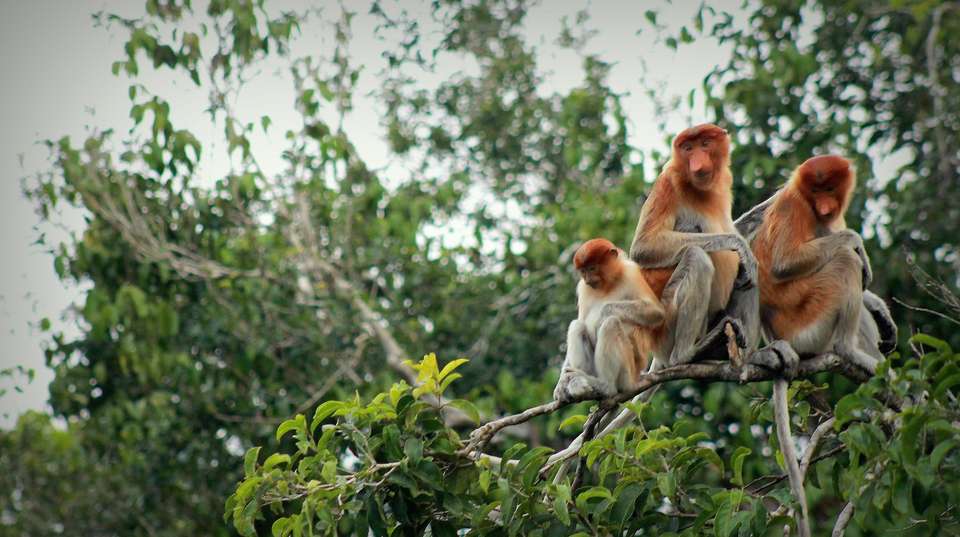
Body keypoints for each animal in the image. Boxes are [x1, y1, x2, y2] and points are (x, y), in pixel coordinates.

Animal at [553, 238, 666, 402]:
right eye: (583, 271)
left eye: (592, 268)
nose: (588, 279)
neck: (608, 284)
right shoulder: (583, 288)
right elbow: (581, 319)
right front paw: (560, 385)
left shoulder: (631, 273)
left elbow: (656, 312)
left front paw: (603, 314)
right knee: (577, 325)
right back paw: (577, 383)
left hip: (629, 372)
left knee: (611, 324)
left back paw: (606, 386)